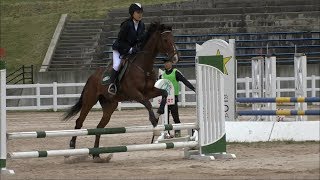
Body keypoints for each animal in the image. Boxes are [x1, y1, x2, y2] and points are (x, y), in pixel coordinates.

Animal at [62, 21, 178, 161]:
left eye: (173, 38)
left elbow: (164, 93)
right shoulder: (135, 93)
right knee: (79, 122)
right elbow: (147, 103)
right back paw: (71, 148)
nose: (175, 58)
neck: (143, 67)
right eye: (165, 40)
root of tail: (91, 77)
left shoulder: (149, 91)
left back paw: (96, 155)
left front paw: (159, 111)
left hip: (110, 105)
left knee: (99, 127)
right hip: (89, 100)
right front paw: (154, 120)